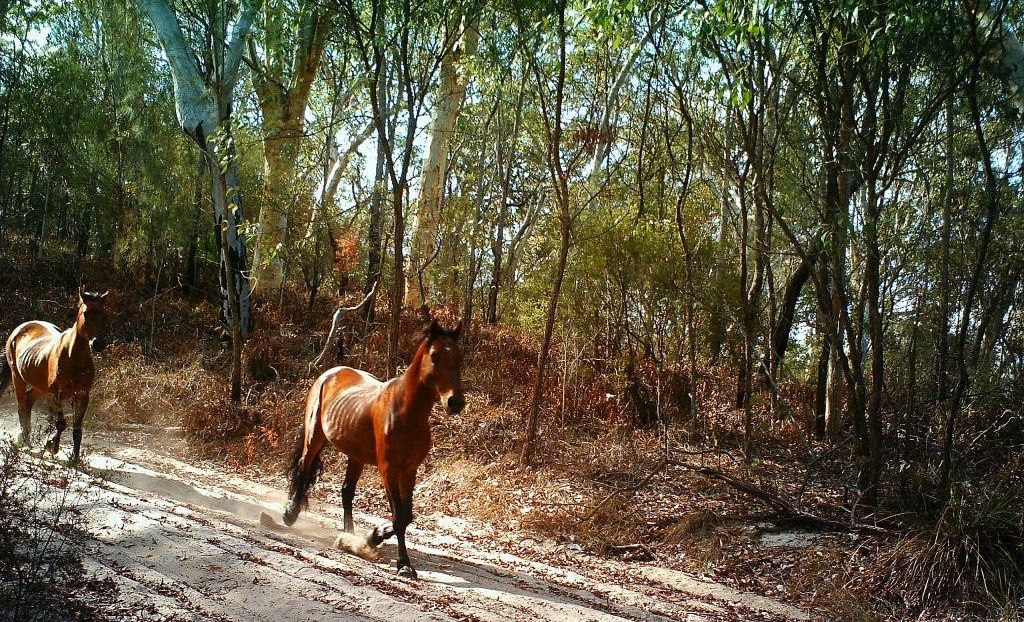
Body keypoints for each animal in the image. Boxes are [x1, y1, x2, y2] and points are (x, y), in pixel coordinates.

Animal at [280, 319, 464, 582]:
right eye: (435, 355)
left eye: (459, 357)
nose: (455, 402)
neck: (407, 413)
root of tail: (330, 373)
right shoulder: (389, 470)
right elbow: (399, 517)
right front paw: (402, 562)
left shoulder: (409, 471)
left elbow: (406, 515)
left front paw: (374, 537)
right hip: (314, 437)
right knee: (304, 471)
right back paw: (290, 513)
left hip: (356, 455)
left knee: (346, 491)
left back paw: (349, 535)